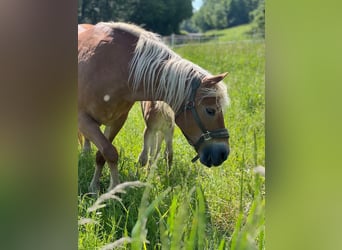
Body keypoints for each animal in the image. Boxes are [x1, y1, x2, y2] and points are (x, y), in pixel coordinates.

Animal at [78, 22, 230, 192]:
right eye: (210, 110)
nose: (223, 153)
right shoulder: (83, 120)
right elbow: (110, 152)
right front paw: (110, 188)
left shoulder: (116, 121)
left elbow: (102, 154)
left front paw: (97, 187)